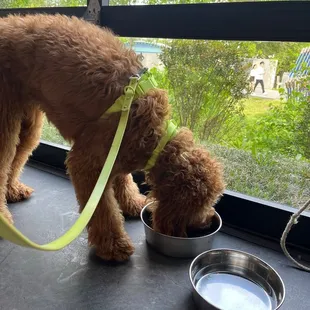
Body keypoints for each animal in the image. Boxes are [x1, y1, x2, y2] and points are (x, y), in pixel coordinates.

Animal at [0, 15, 224, 262]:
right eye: (200, 203)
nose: (207, 222)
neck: (153, 132)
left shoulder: (117, 151)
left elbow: (123, 181)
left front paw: (132, 203)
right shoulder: (88, 162)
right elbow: (103, 209)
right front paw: (114, 245)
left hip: (28, 123)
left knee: (16, 157)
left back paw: (12, 190)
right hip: (5, 119)